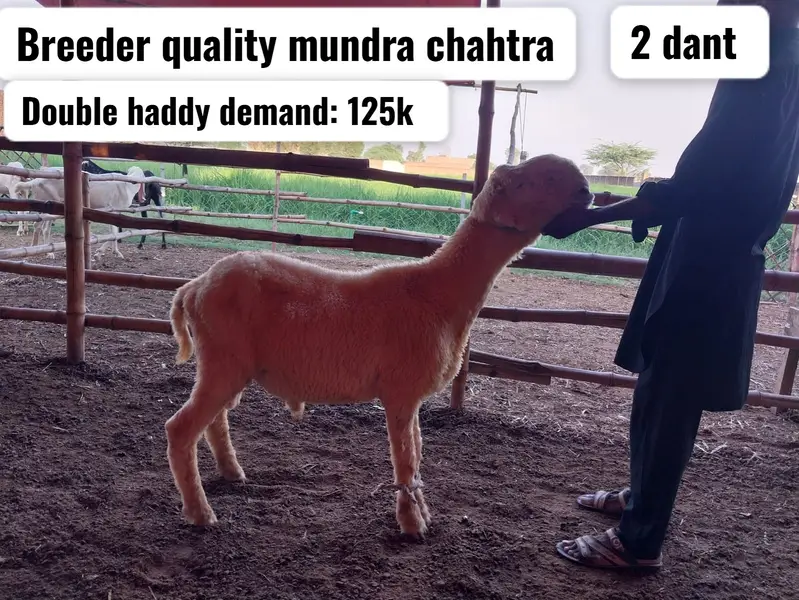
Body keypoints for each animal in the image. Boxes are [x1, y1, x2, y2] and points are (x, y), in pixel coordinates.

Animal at [16, 166, 145, 259]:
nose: (143, 199)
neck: (127, 186)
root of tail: (37, 180)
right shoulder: (115, 209)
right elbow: (114, 234)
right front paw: (103, 252)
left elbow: (113, 233)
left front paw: (111, 252)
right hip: (48, 202)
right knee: (38, 225)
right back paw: (37, 249)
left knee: (44, 228)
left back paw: (46, 251)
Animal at [164, 154, 594, 537]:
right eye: (530, 181)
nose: (587, 190)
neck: (439, 292)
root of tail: (193, 287)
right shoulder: (400, 390)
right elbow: (405, 459)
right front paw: (411, 524)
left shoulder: (413, 394)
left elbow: (417, 453)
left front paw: (422, 513)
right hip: (223, 358)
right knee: (180, 429)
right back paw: (200, 513)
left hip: (225, 363)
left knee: (214, 420)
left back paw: (232, 473)